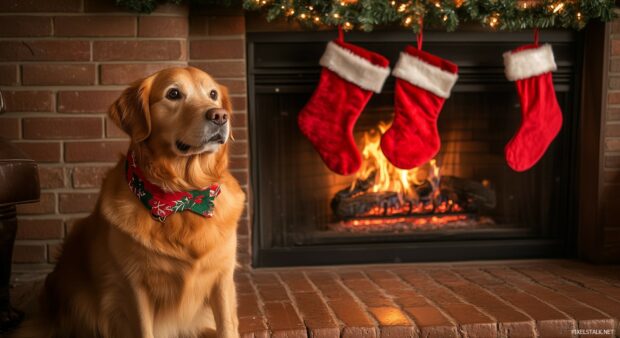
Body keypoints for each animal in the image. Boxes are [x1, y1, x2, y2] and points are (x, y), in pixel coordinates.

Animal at [12, 66, 245, 338]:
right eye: (173, 94)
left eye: (213, 94)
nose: (220, 116)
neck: (184, 196)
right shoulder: (134, 285)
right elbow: (143, 329)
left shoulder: (222, 276)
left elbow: (227, 326)